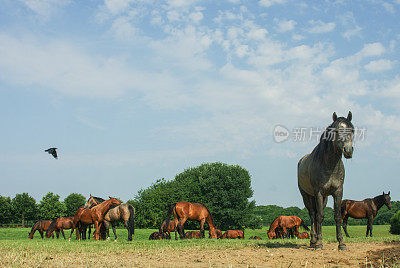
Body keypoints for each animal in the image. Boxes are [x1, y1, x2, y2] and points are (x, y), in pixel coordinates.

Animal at [296, 111, 354, 249]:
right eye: (337, 131)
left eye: (352, 130)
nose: (348, 151)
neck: (329, 165)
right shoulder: (318, 192)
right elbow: (320, 216)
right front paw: (319, 243)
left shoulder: (337, 192)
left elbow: (337, 216)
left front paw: (341, 243)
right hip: (306, 195)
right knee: (313, 214)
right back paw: (313, 240)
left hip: (324, 198)